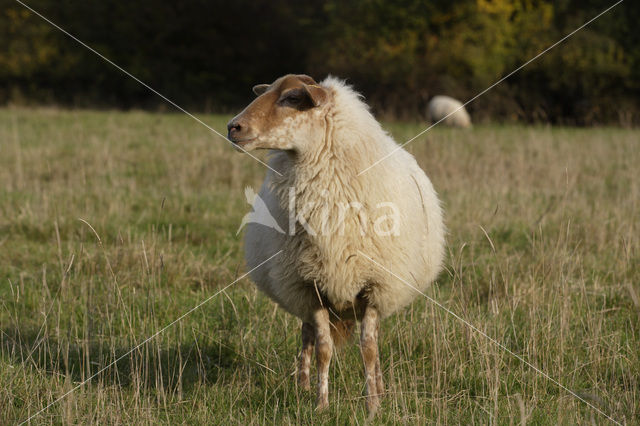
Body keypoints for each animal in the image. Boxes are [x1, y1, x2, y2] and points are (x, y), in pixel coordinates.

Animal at [226, 74, 444, 416]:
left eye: (292, 98)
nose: (233, 127)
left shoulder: (375, 287)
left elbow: (368, 349)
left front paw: (373, 407)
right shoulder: (309, 287)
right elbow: (323, 349)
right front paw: (321, 404)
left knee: (373, 340)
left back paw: (380, 387)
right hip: (297, 291)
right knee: (307, 336)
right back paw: (302, 387)